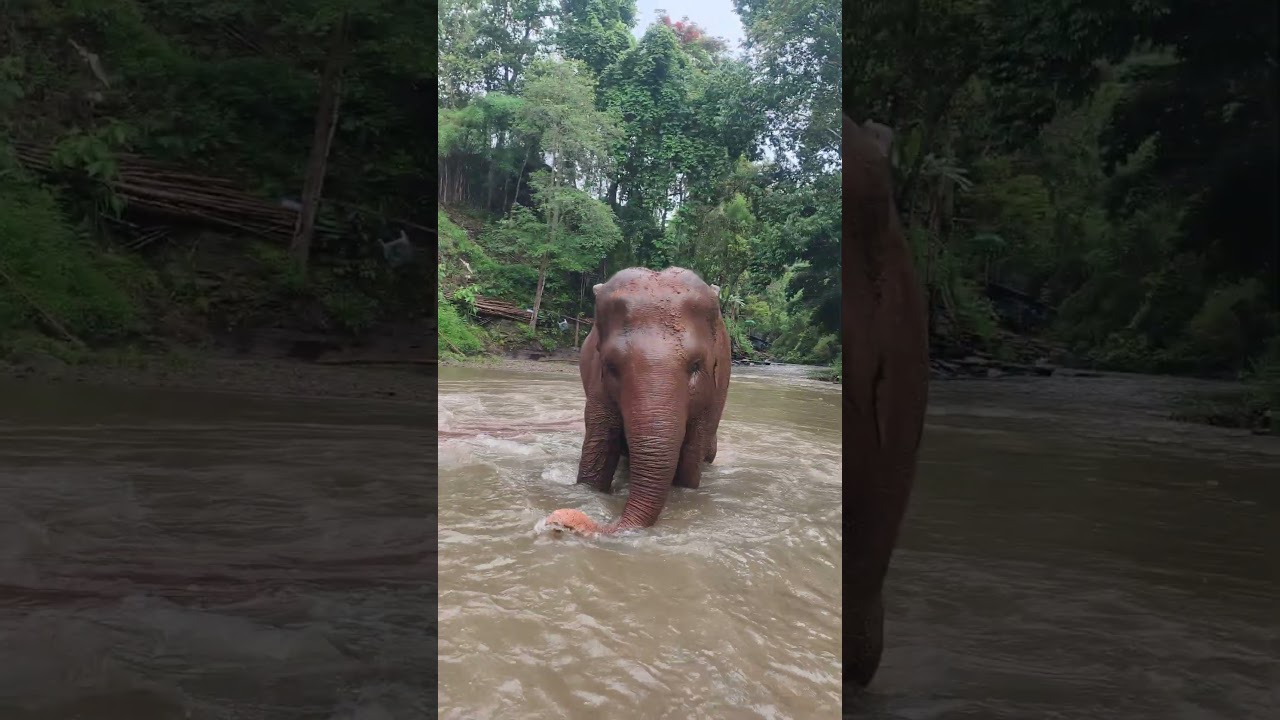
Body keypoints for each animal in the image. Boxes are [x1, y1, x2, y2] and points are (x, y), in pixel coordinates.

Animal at [543, 267, 731, 536]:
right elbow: (599, 444)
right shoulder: (597, 383)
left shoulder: (716, 389)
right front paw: (589, 488)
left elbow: (690, 462)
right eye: (611, 366)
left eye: (696, 366)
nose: (555, 519)